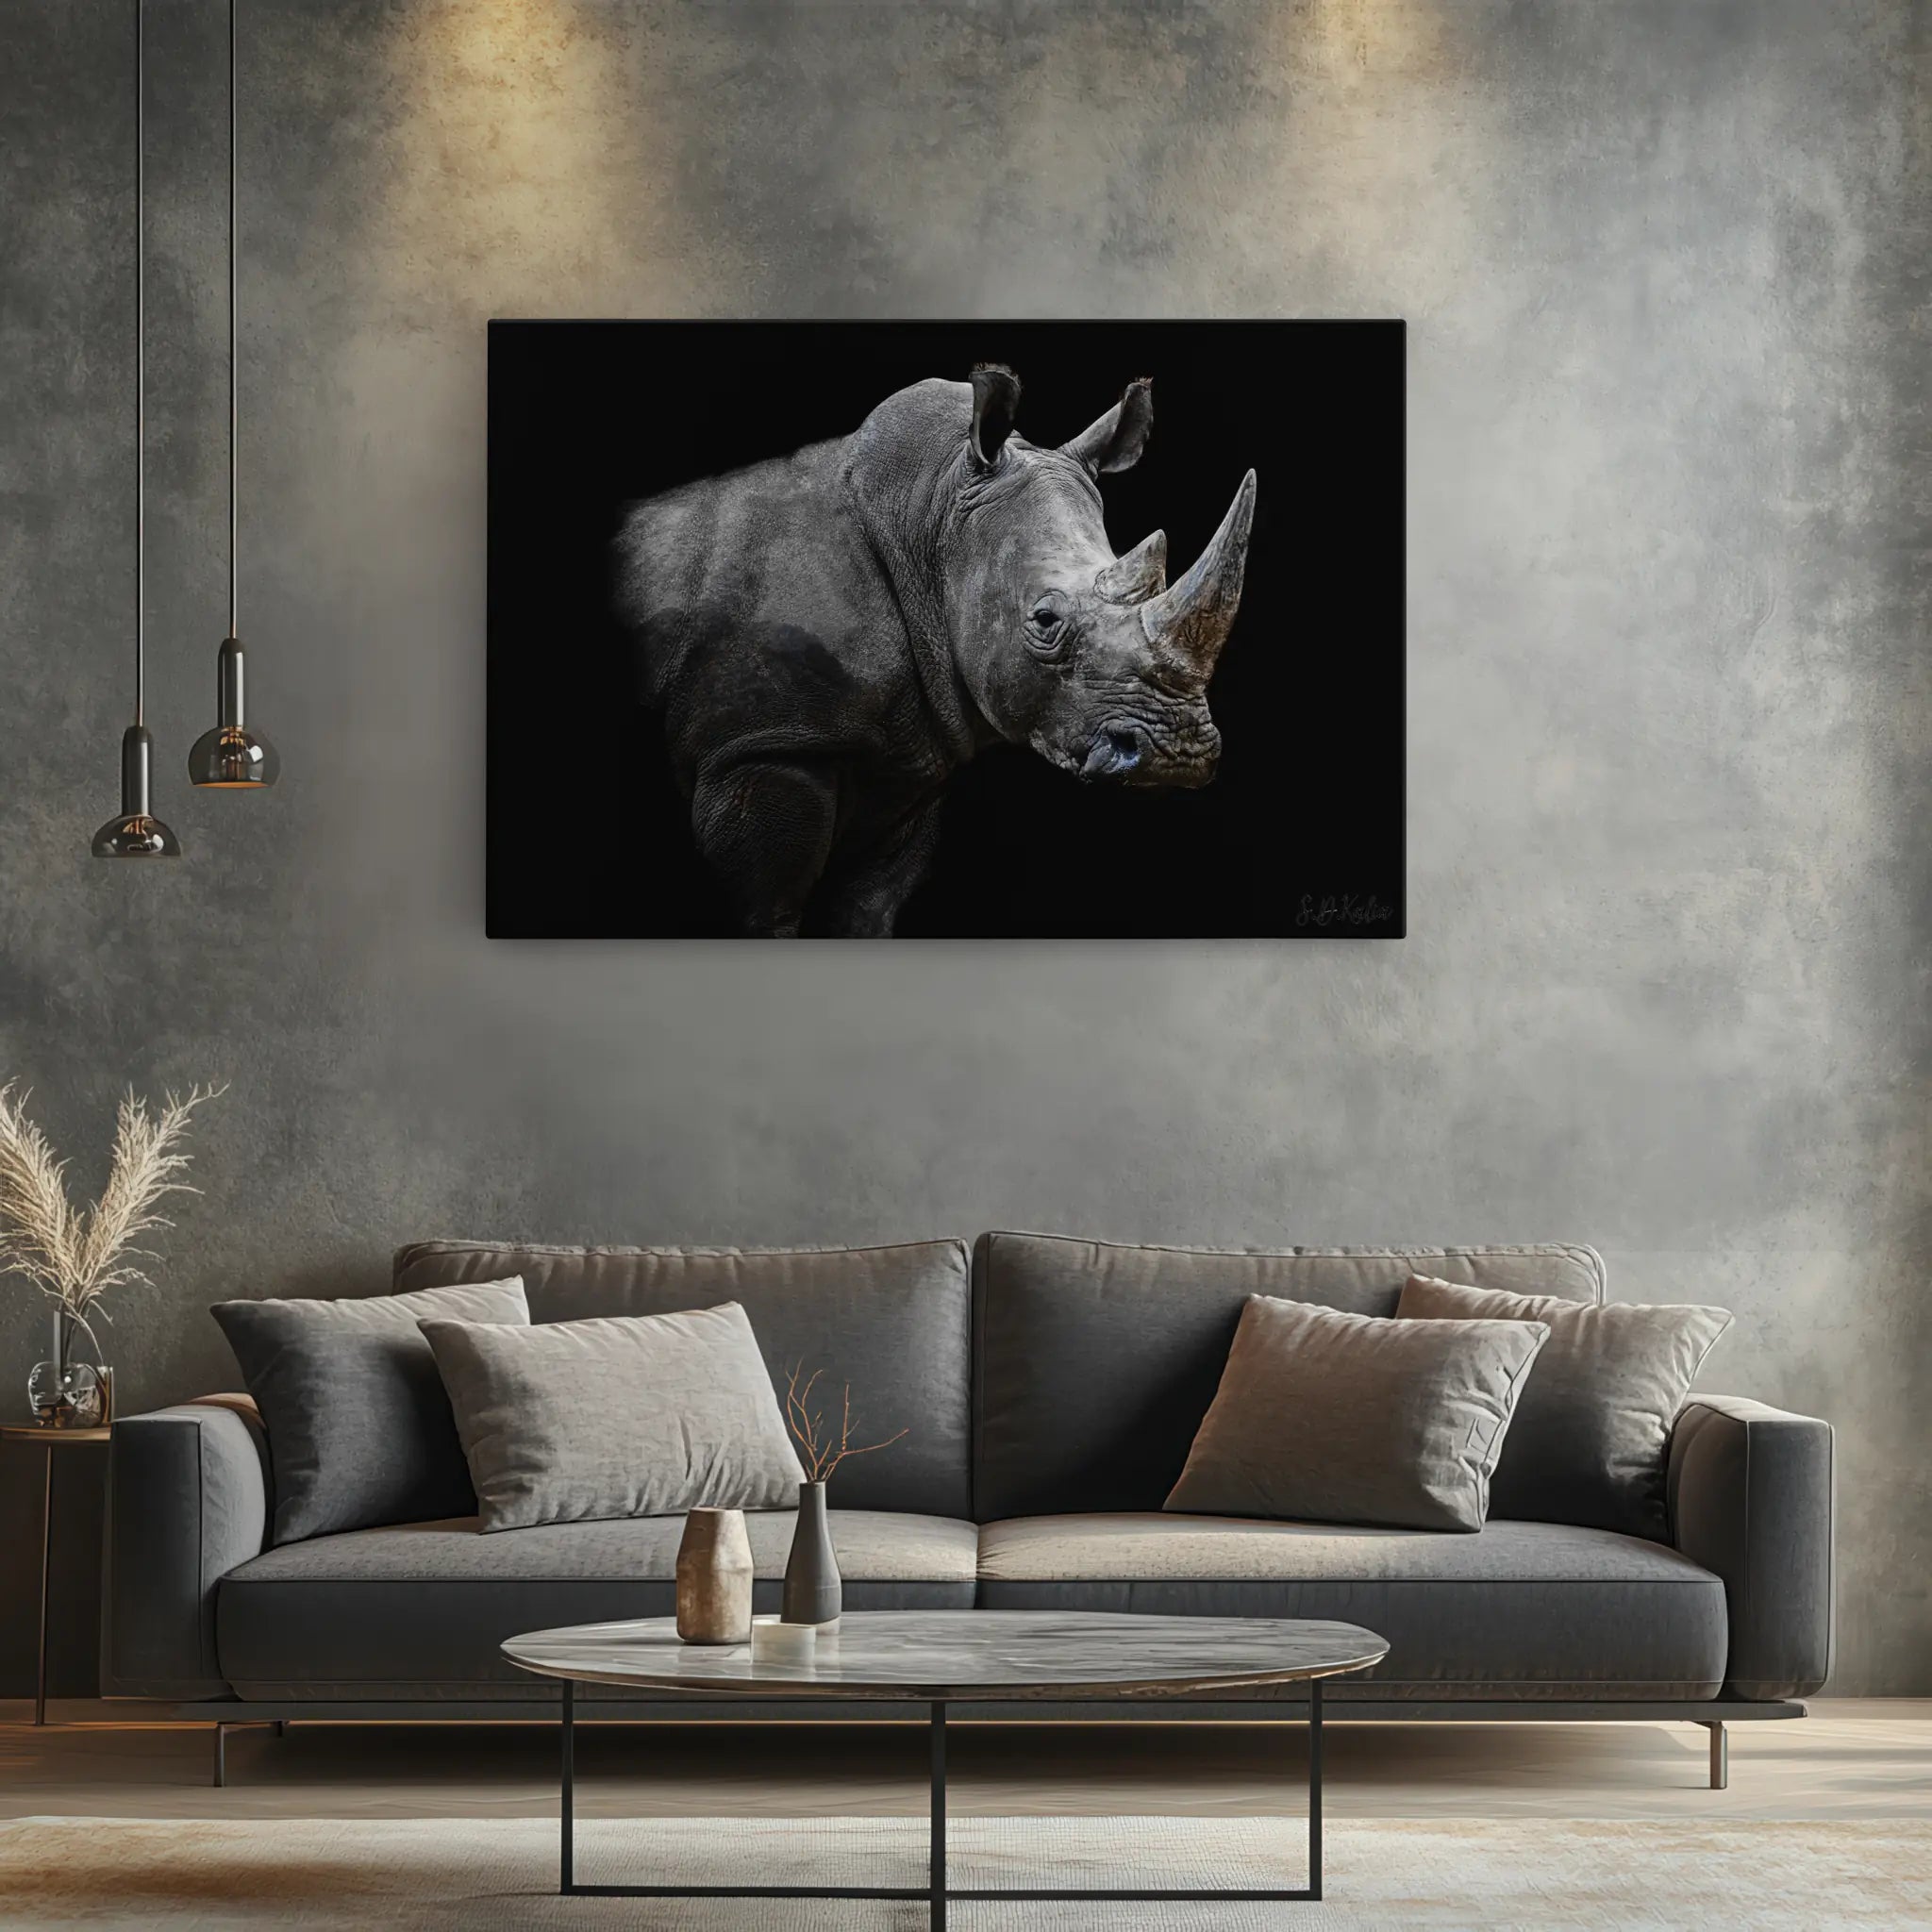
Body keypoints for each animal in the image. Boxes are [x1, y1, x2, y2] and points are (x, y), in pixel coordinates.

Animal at [613, 364, 1256, 936]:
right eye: (1045, 620)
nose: (1178, 754)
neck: (930, 519)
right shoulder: (763, 746)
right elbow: (767, 910)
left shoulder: (908, 762)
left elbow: (867, 909)